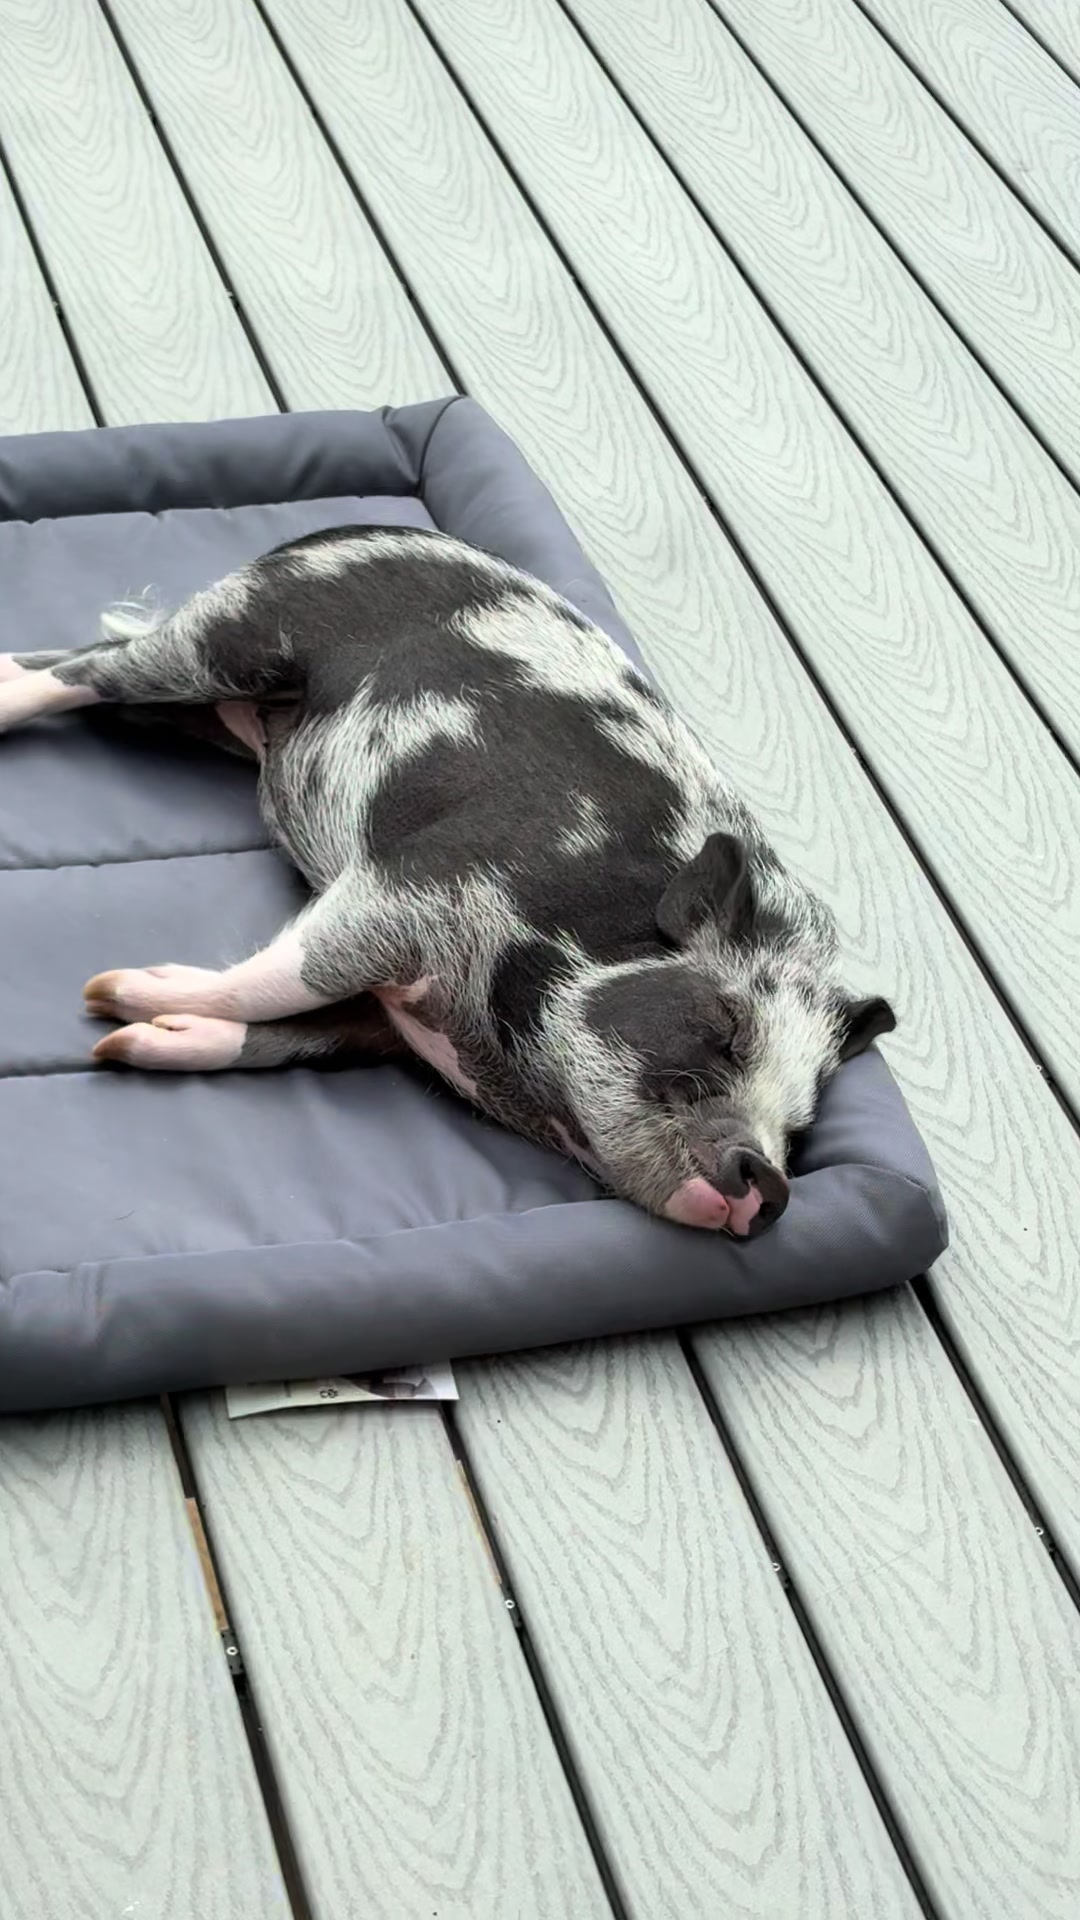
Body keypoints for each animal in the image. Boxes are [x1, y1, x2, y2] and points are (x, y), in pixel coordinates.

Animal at [0, 526, 894, 1235]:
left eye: (801, 1121)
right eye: (724, 1026)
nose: (767, 1179)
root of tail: (338, 533)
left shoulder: (389, 1023)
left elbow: (296, 1033)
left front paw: (127, 1041)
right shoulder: (411, 886)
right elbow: (291, 975)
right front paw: (110, 993)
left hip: (209, 702)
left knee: (92, 668)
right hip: (234, 637)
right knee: (98, 666)